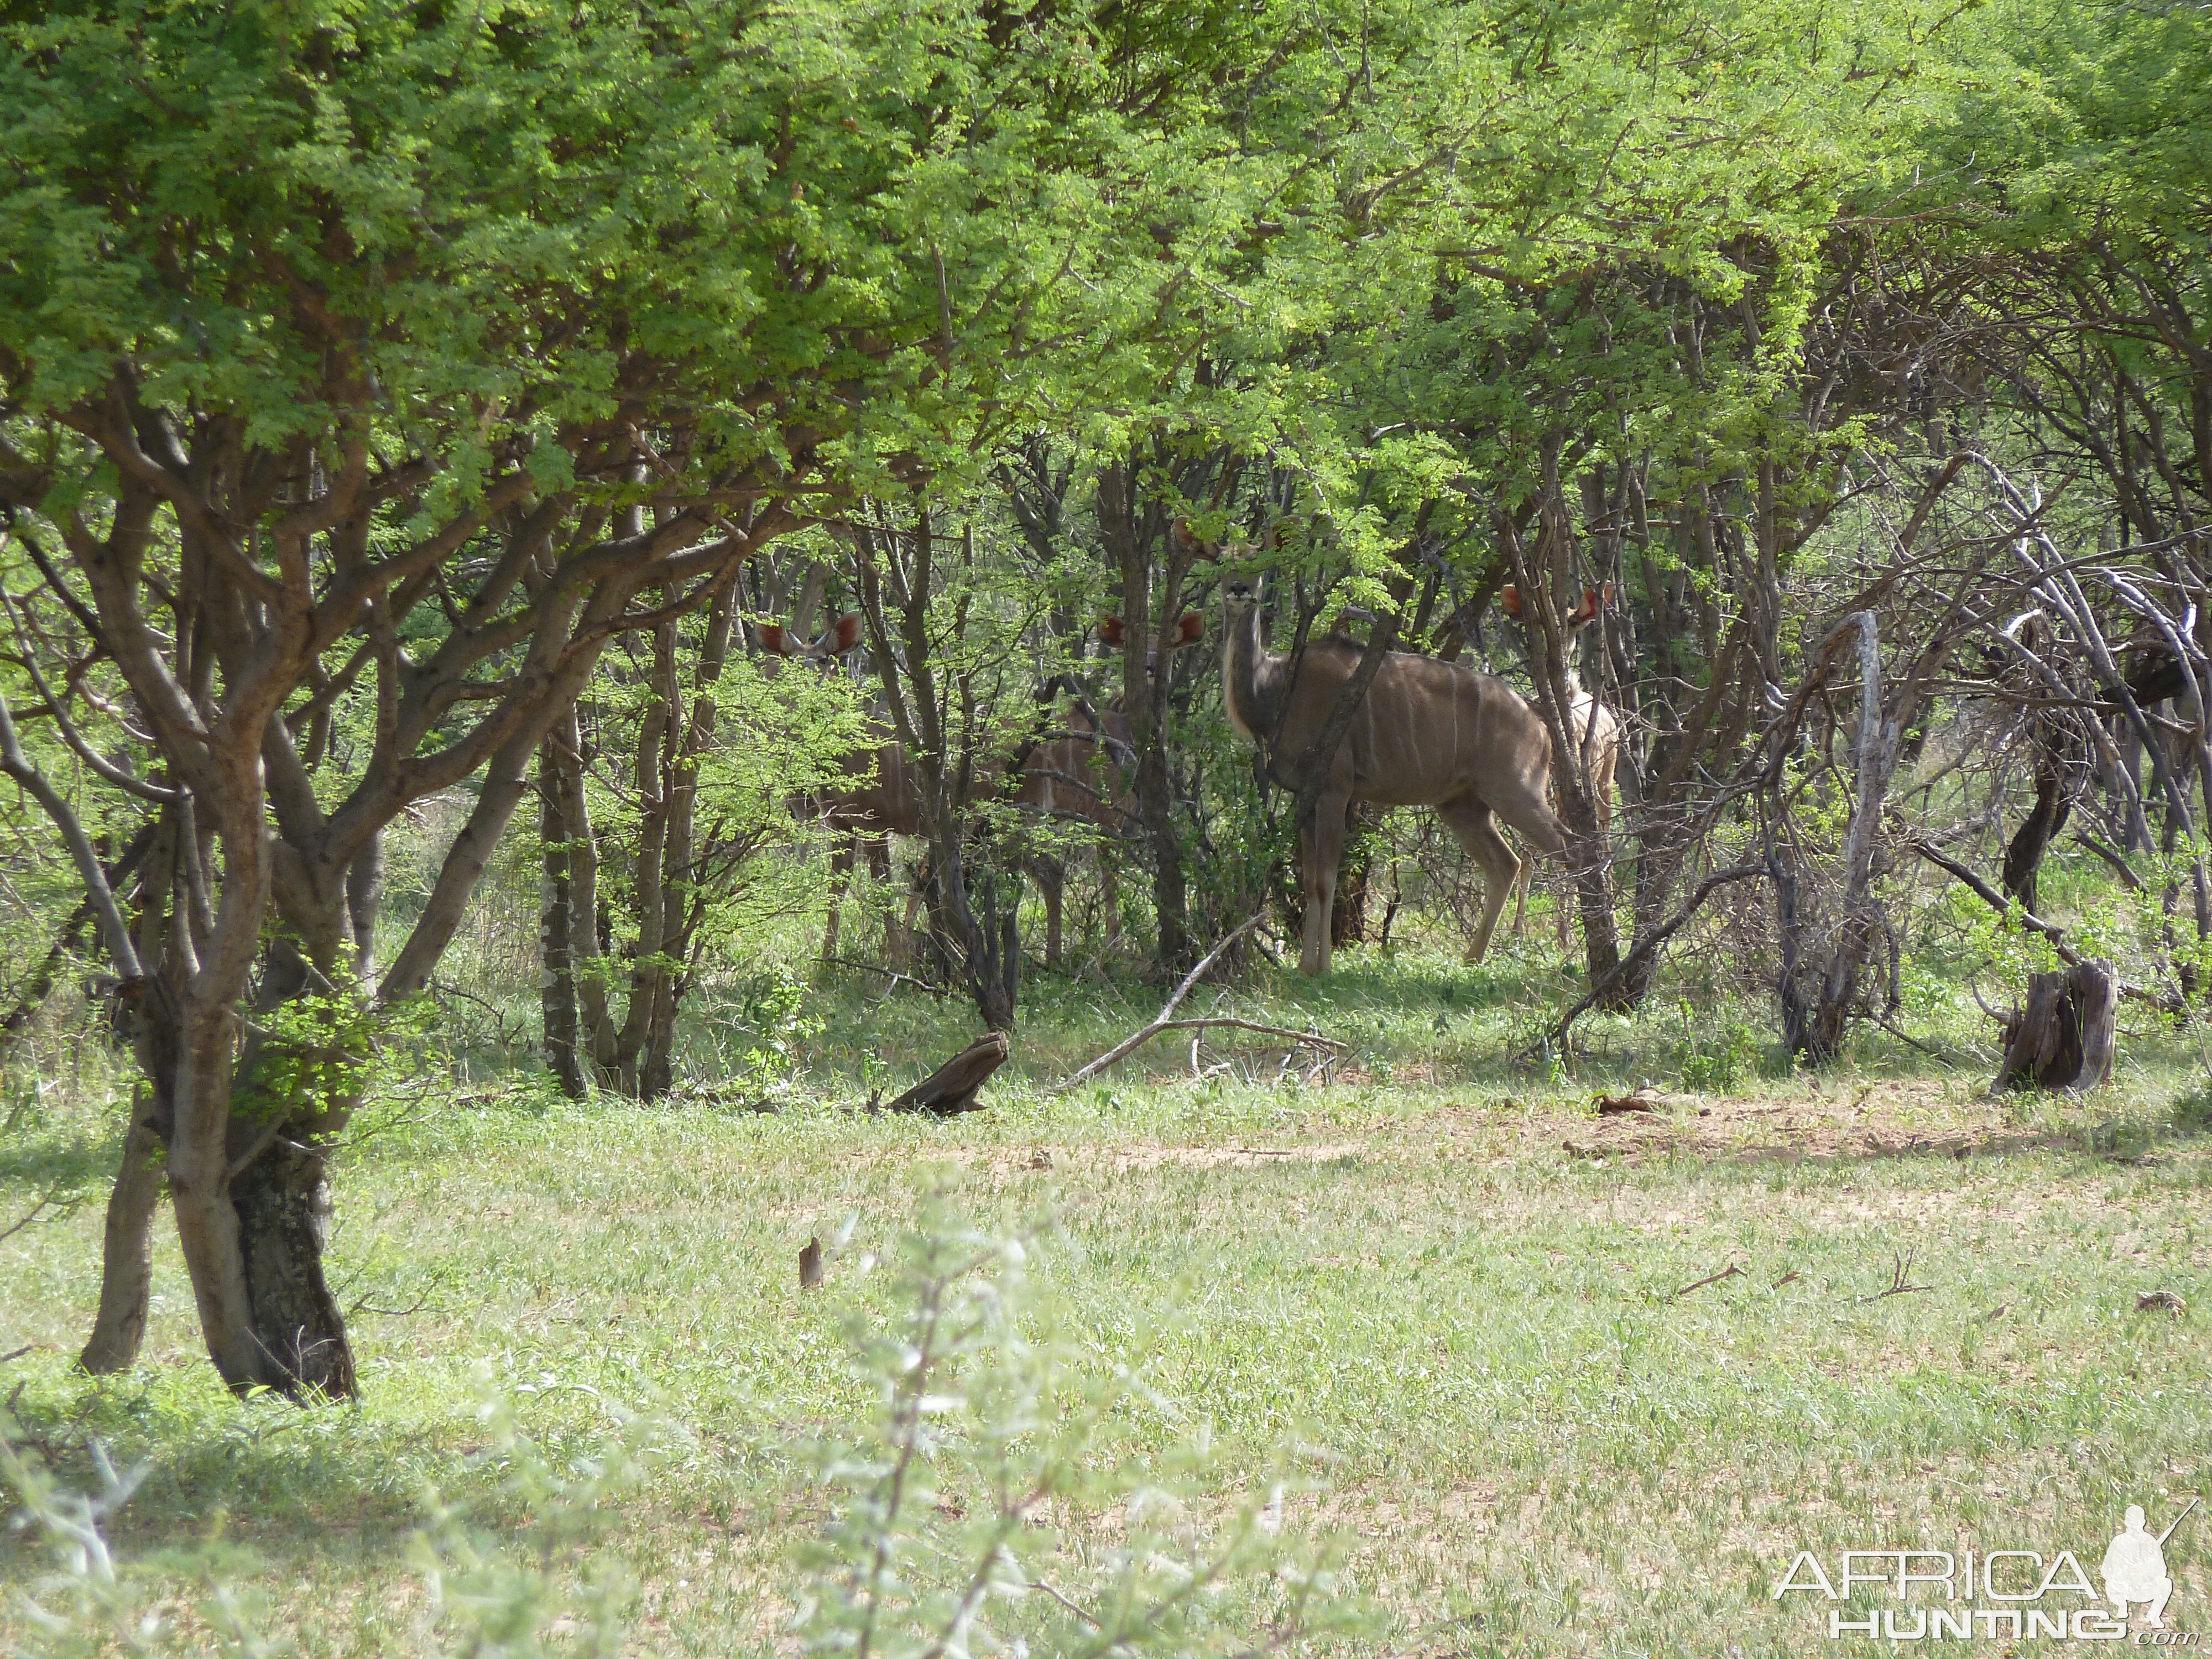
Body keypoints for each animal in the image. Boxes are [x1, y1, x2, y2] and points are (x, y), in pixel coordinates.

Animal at [1221, 580, 1566, 982]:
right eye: (1228, 566)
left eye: (1255, 574)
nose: (1239, 590)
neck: (1276, 691)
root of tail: (1539, 726)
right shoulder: (1304, 795)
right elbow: (1309, 881)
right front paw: (1306, 966)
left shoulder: (1335, 790)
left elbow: (1325, 879)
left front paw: (1324, 968)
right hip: (1462, 806)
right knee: (1506, 864)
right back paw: (1472, 960)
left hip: (1515, 792)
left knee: (1564, 845)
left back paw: (1570, 952)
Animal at [1495, 584, 1619, 947]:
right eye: (1537, 619)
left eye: (1575, 621)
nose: (1560, 647)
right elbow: (1529, 855)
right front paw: (1517, 932)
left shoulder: (1568, 792)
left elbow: (1567, 852)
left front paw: (1565, 937)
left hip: (1605, 781)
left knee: (1604, 839)